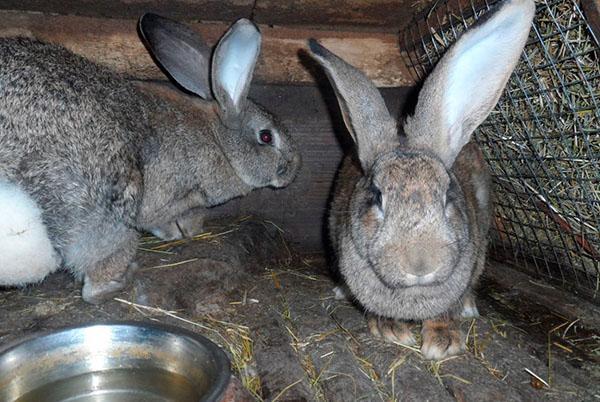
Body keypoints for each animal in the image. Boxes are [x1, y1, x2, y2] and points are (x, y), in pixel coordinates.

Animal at [0, 14, 300, 304]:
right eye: (266, 137)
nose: (292, 172)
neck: (219, 140)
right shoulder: (170, 197)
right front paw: (181, 232)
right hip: (104, 209)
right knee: (95, 282)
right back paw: (124, 278)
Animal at [310, 0, 536, 360]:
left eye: (446, 196)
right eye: (377, 196)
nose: (420, 264)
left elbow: (444, 313)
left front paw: (443, 342)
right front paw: (390, 328)